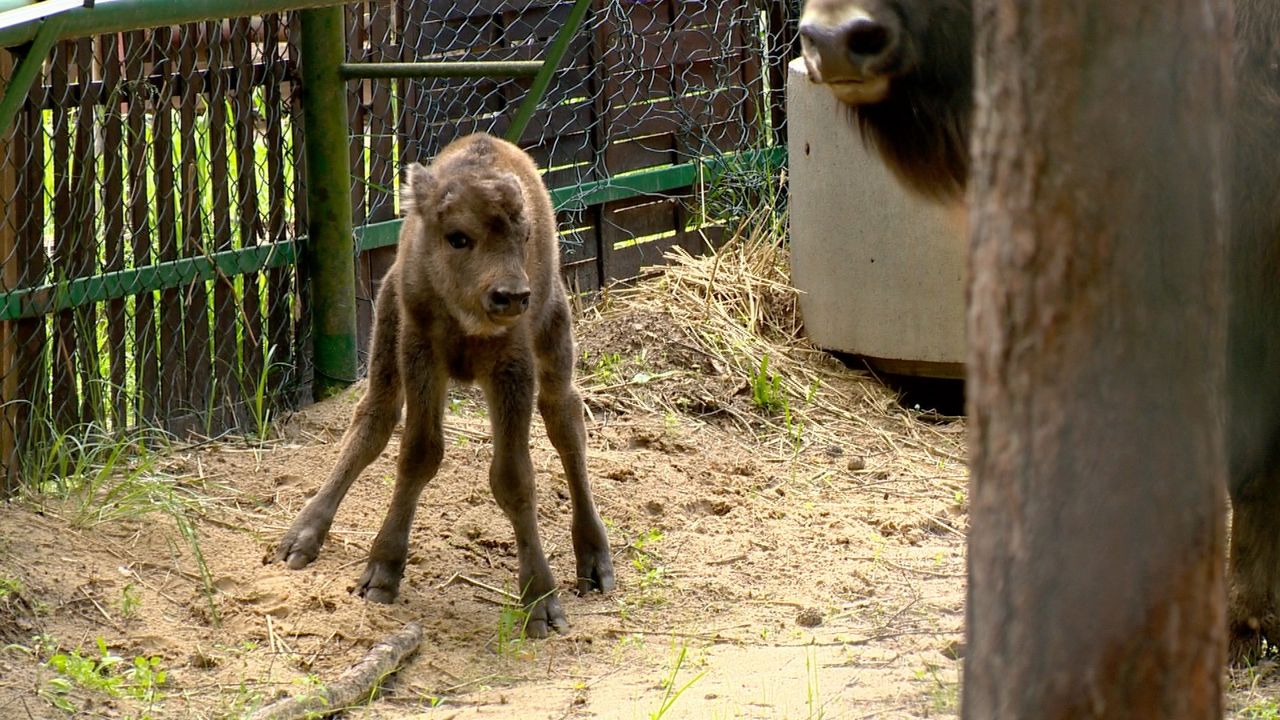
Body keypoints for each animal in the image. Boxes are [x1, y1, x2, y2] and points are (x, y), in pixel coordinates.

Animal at [277, 130, 616, 632]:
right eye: (458, 237)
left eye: (524, 236)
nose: (512, 295)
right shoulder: (419, 352)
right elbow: (418, 454)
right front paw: (381, 574)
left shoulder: (512, 367)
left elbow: (514, 477)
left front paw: (541, 601)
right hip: (387, 337)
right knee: (372, 421)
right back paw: (302, 537)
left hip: (554, 337)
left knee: (566, 423)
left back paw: (594, 561)